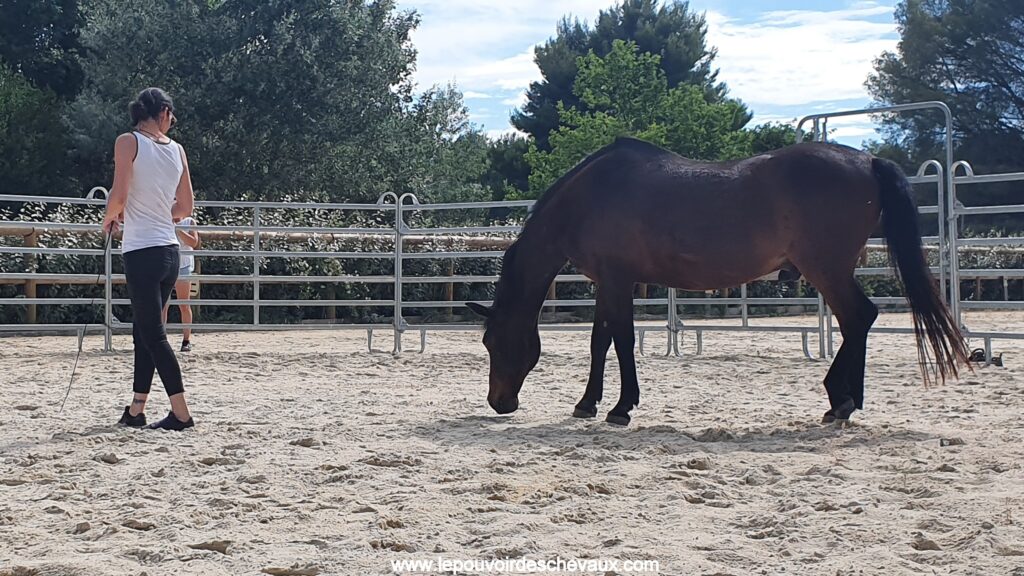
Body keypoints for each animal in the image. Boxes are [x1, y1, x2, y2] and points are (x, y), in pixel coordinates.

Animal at [467, 136, 969, 426]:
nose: (499, 403)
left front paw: (620, 408)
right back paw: (846, 400)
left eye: (493, 342)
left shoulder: (617, 280)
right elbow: (600, 342)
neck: (590, 197)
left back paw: (841, 400)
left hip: (826, 269)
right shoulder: (607, 283)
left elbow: (622, 342)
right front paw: (587, 403)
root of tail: (867, 161)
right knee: (856, 322)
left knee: (859, 317)